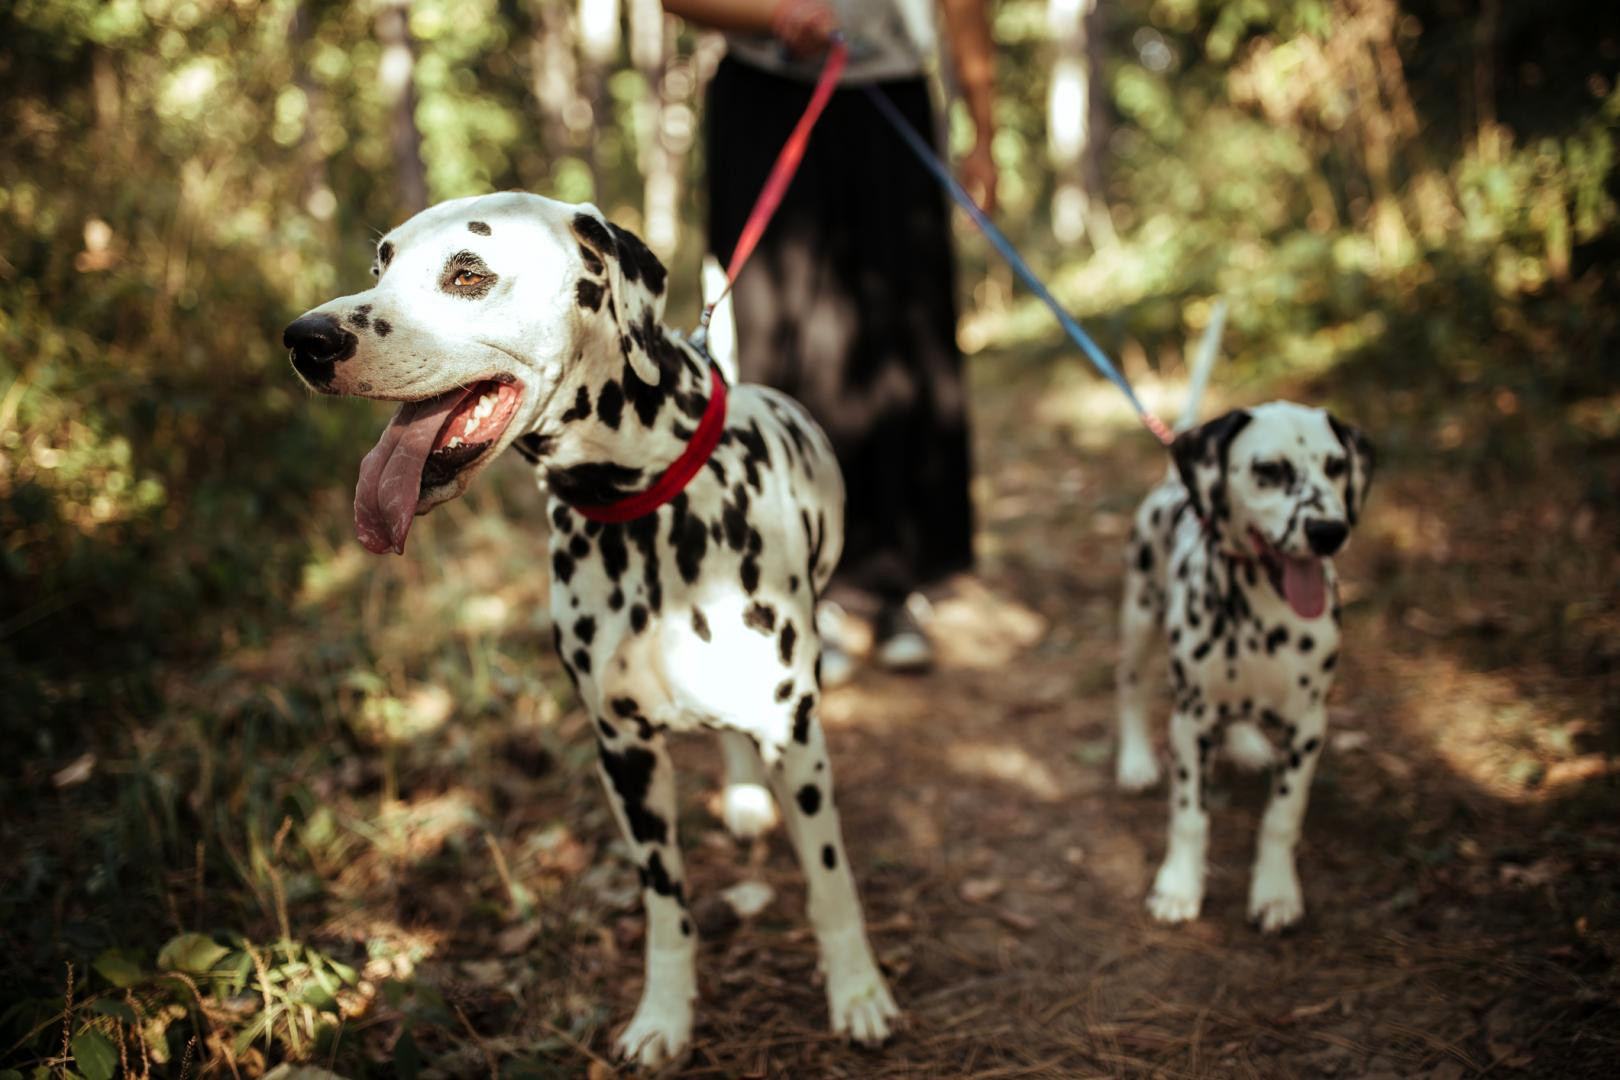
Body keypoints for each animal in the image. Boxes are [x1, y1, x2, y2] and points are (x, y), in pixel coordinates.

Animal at [286, 191, 907, 1062]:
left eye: (467, 274)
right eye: (381, 263)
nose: (305, 338)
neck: (642, 500)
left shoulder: (796, 734)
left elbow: (829, 879)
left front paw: (856, 990)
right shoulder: (625, 754)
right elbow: (666, 907)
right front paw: (665, 1014)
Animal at [1114, 378, 1380, 932]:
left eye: (1336, 465)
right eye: (1269, 469)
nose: (1329, 531)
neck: (1261, 613)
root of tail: (1172, 481)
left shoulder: (1309, 727)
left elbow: (1282, 817)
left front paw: (1275, 892)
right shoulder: (1189, 723)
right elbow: (1189, 815)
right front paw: (1179, 885)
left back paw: (1246, 743)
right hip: (1139, 616)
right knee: (1130, 685)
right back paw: (1135, 761)